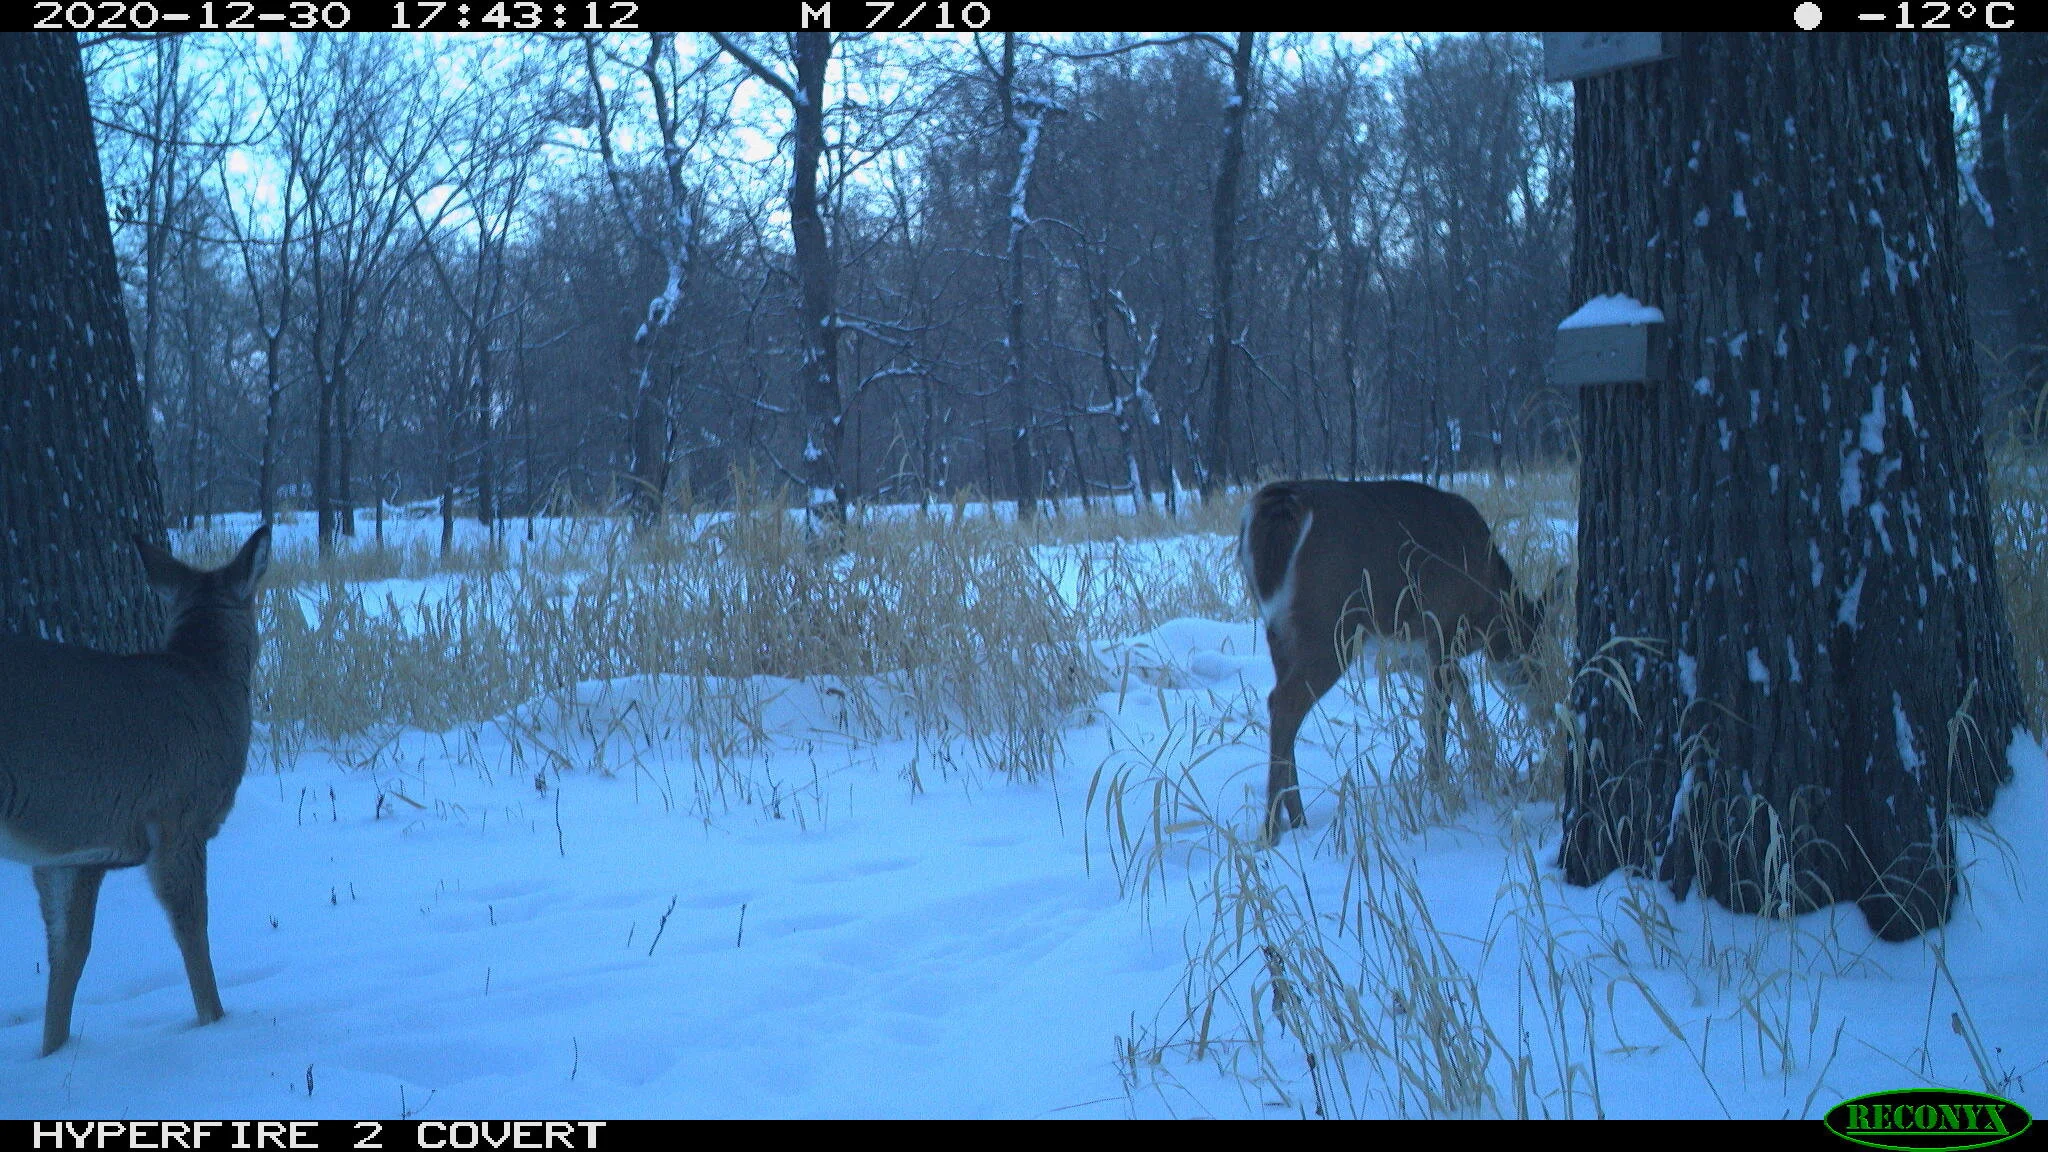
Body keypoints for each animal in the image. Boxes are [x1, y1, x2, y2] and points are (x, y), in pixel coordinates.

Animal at [0, 525, 270, 1055]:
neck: (208, 683)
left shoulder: (71, 853)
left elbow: (69, 953)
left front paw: (53, 1052)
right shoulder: (178, 819)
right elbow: (193, 930)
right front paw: (216, 1022)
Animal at [1240, 481, 1548, 842]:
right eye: (1538, 650)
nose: (1547, 705)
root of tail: (1280, 503)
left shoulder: (1417, 652)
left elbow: (1462, 700)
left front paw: (1484, 771)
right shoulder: (1442, 630)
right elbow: (1437, 720)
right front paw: (1442, 793)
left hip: (1279, 632)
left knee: (1281, 706)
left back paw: (1297, 820)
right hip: (1330, 625)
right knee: (1285, 702)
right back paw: (1272, 830)